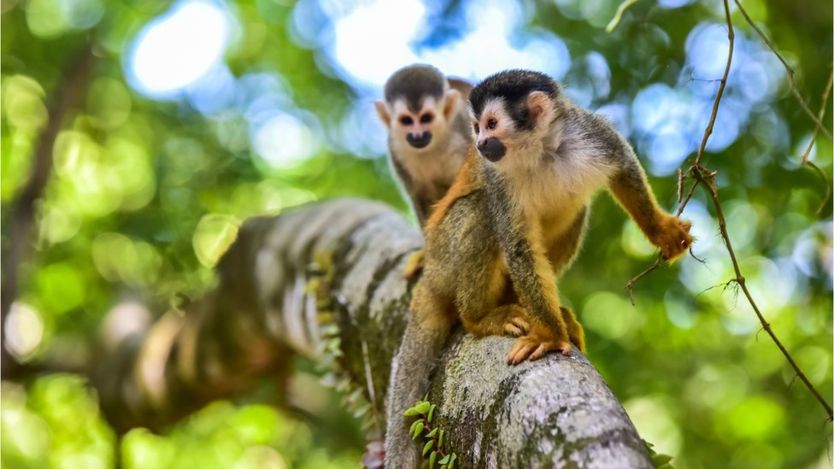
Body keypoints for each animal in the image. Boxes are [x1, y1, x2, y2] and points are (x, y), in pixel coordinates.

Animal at [382, 68, 688, 464]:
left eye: (491, 124)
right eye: (476, 127)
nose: (480, 144)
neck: (541, 151)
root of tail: (431, 270)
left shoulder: (590, 133)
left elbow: (624, 167)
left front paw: (661, 230)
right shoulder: (497, 176)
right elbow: (517, 244)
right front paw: (550, 335)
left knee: (576, 209)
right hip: (446, 257)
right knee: (480, 209)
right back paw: (480, 317)